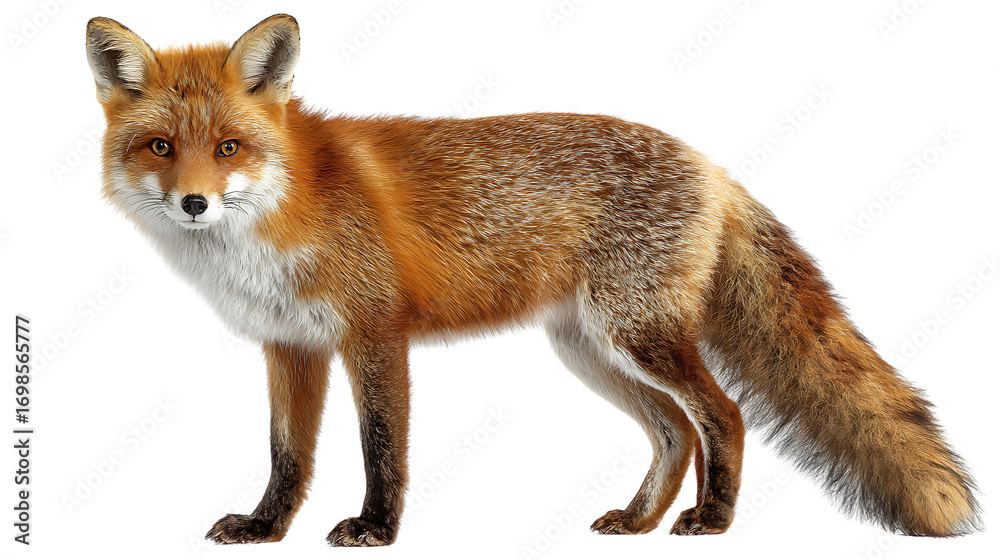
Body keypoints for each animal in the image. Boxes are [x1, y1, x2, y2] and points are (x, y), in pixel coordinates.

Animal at [85, 13, 981, 546]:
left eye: (229, 147)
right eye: (161, 147)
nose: (195, 202)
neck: (280, 214)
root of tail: (711, 165)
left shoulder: (374, 334)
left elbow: (382, 448)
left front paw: (376, 530)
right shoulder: (289, 346)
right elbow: (286, 457)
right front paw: (266, 530)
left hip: (635, 336)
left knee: (720, 415)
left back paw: (712, 519)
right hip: (590, 351)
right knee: (675, 432)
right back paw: (637, 520)